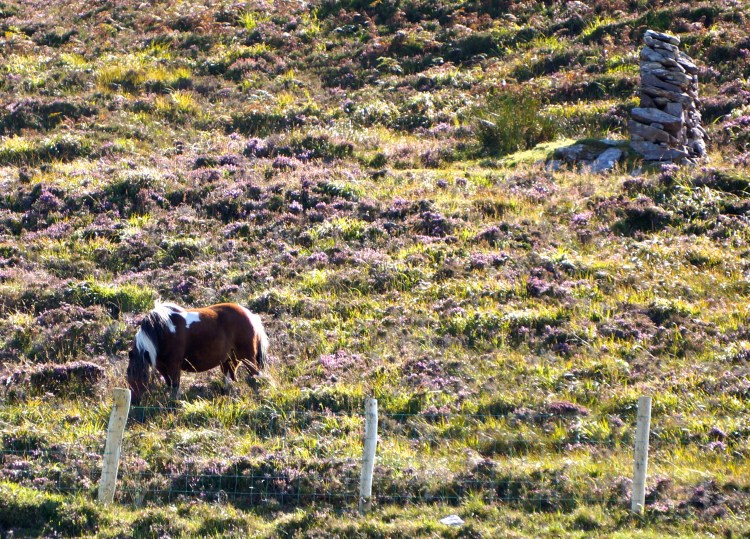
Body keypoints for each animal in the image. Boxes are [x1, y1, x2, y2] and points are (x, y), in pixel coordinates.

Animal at [126, 302, 269, 404]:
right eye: (128, 375)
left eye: (144, 376)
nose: (134, 401)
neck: (161, 331)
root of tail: (250, 315)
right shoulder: (162, 367)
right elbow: (169, 384)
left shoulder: (174, 365)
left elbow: (175, 386)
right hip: (230, 360)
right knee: (231, 378)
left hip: (247, 357)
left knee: (256, 376)